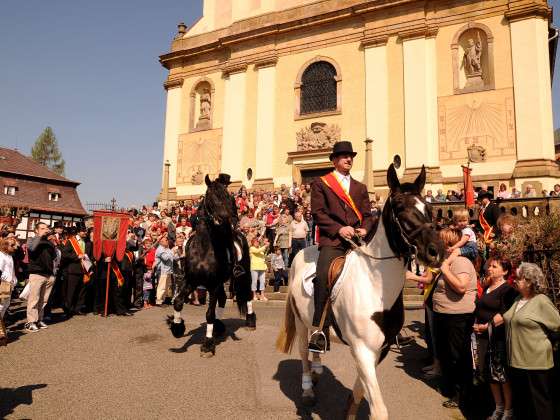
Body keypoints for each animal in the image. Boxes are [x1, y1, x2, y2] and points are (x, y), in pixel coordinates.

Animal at [167, 175, 253, 358]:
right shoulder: (191, 281)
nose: (227, 220)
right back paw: (220, 327)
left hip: (244, 273)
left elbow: (209, 314)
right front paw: (177, 328)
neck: (204, 248)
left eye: (229, 197)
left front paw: (207, 345)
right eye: (212, 197)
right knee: (223, 299)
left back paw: (250, 321)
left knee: (247, 293)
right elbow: (177, 302)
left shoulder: (213, 284)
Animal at [276, 166, 446, 418]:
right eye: (399, 207)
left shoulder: (378, 351)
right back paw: (307, 388)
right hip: (300, 322)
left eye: (429, 208)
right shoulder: (362, 349)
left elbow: (358, 392)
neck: (375, 287)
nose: (436, 252)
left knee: (315, 344)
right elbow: (379, 409)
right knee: (303, 353)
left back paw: (317, 368)